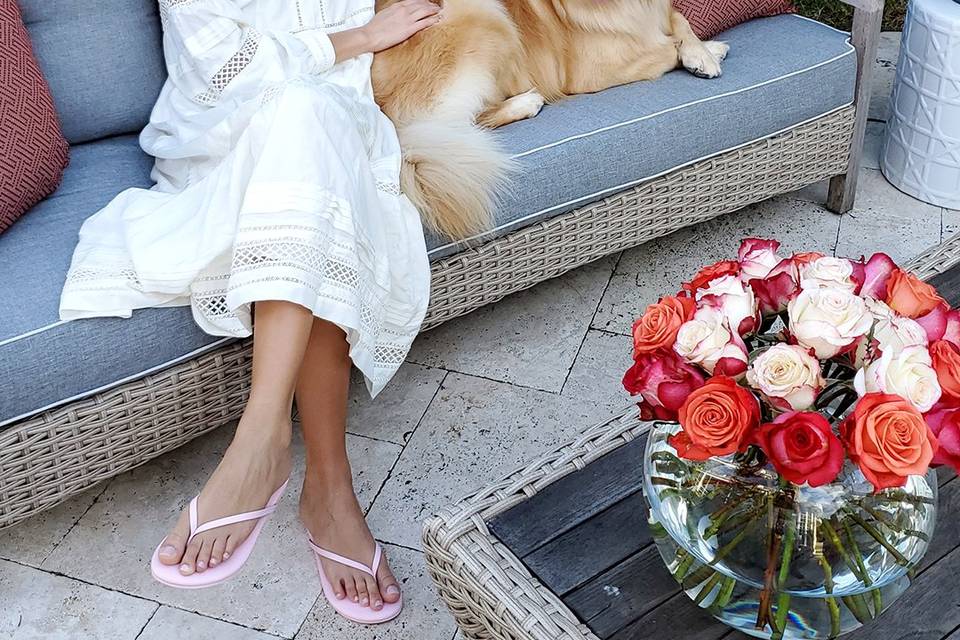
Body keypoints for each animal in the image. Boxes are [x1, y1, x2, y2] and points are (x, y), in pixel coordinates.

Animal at [372, 0, 732, 240]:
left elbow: (678, 19)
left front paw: (705, 49)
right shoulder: (591, 71)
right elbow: (665, 47)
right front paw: (702, 53)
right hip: (482, 18)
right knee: (463, 122)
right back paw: (525, 102)